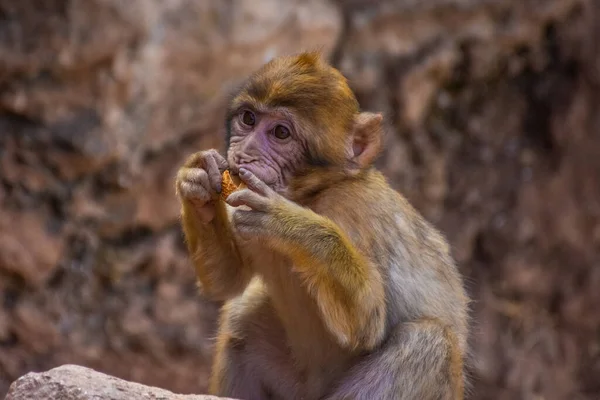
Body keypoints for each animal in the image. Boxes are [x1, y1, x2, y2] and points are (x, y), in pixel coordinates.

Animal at [173, 52, 468, 400]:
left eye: (281, 133)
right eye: (248, 119)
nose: (244, 154)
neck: (311, 194)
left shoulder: (352, 208)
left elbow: (366, 322)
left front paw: (289, 223)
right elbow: (228, 279)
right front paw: (196, 182)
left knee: (428, 342)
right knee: (242, 322)